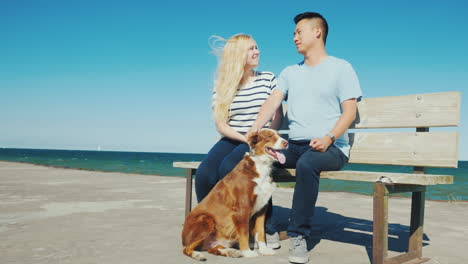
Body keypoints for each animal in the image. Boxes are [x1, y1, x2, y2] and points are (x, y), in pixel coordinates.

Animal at [181, 129, 288, 260]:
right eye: (269, 136)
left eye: (280, 135)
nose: (286, 143)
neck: (261, 166)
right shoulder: (243, 209)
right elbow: (245, 232)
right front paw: (247, 252)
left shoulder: (262, 209)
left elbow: (261, 232)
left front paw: (264, 250)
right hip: (205, 219)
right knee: (187, 249)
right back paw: (197, 254)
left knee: (213, 248)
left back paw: (230, 252)